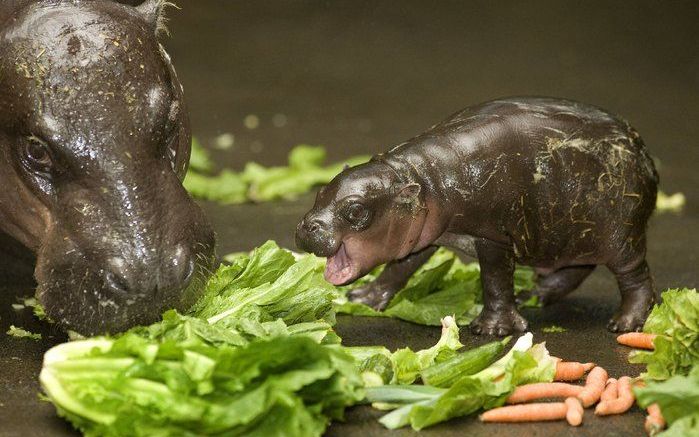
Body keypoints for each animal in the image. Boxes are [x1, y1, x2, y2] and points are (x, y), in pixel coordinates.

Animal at [298, 96, 660, 334]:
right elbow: (399, 267)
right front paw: (364, 299)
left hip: (622, 235)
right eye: (320, 191)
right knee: (575, 269)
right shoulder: (422, 233)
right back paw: (532, 296)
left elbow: (495, 280)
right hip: (568, 234)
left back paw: (626, 323)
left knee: (636, 277)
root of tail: (644, 152)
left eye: (356, 210)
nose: (307, 226)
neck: (421, 178)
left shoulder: (492, 236)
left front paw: (492, 329)